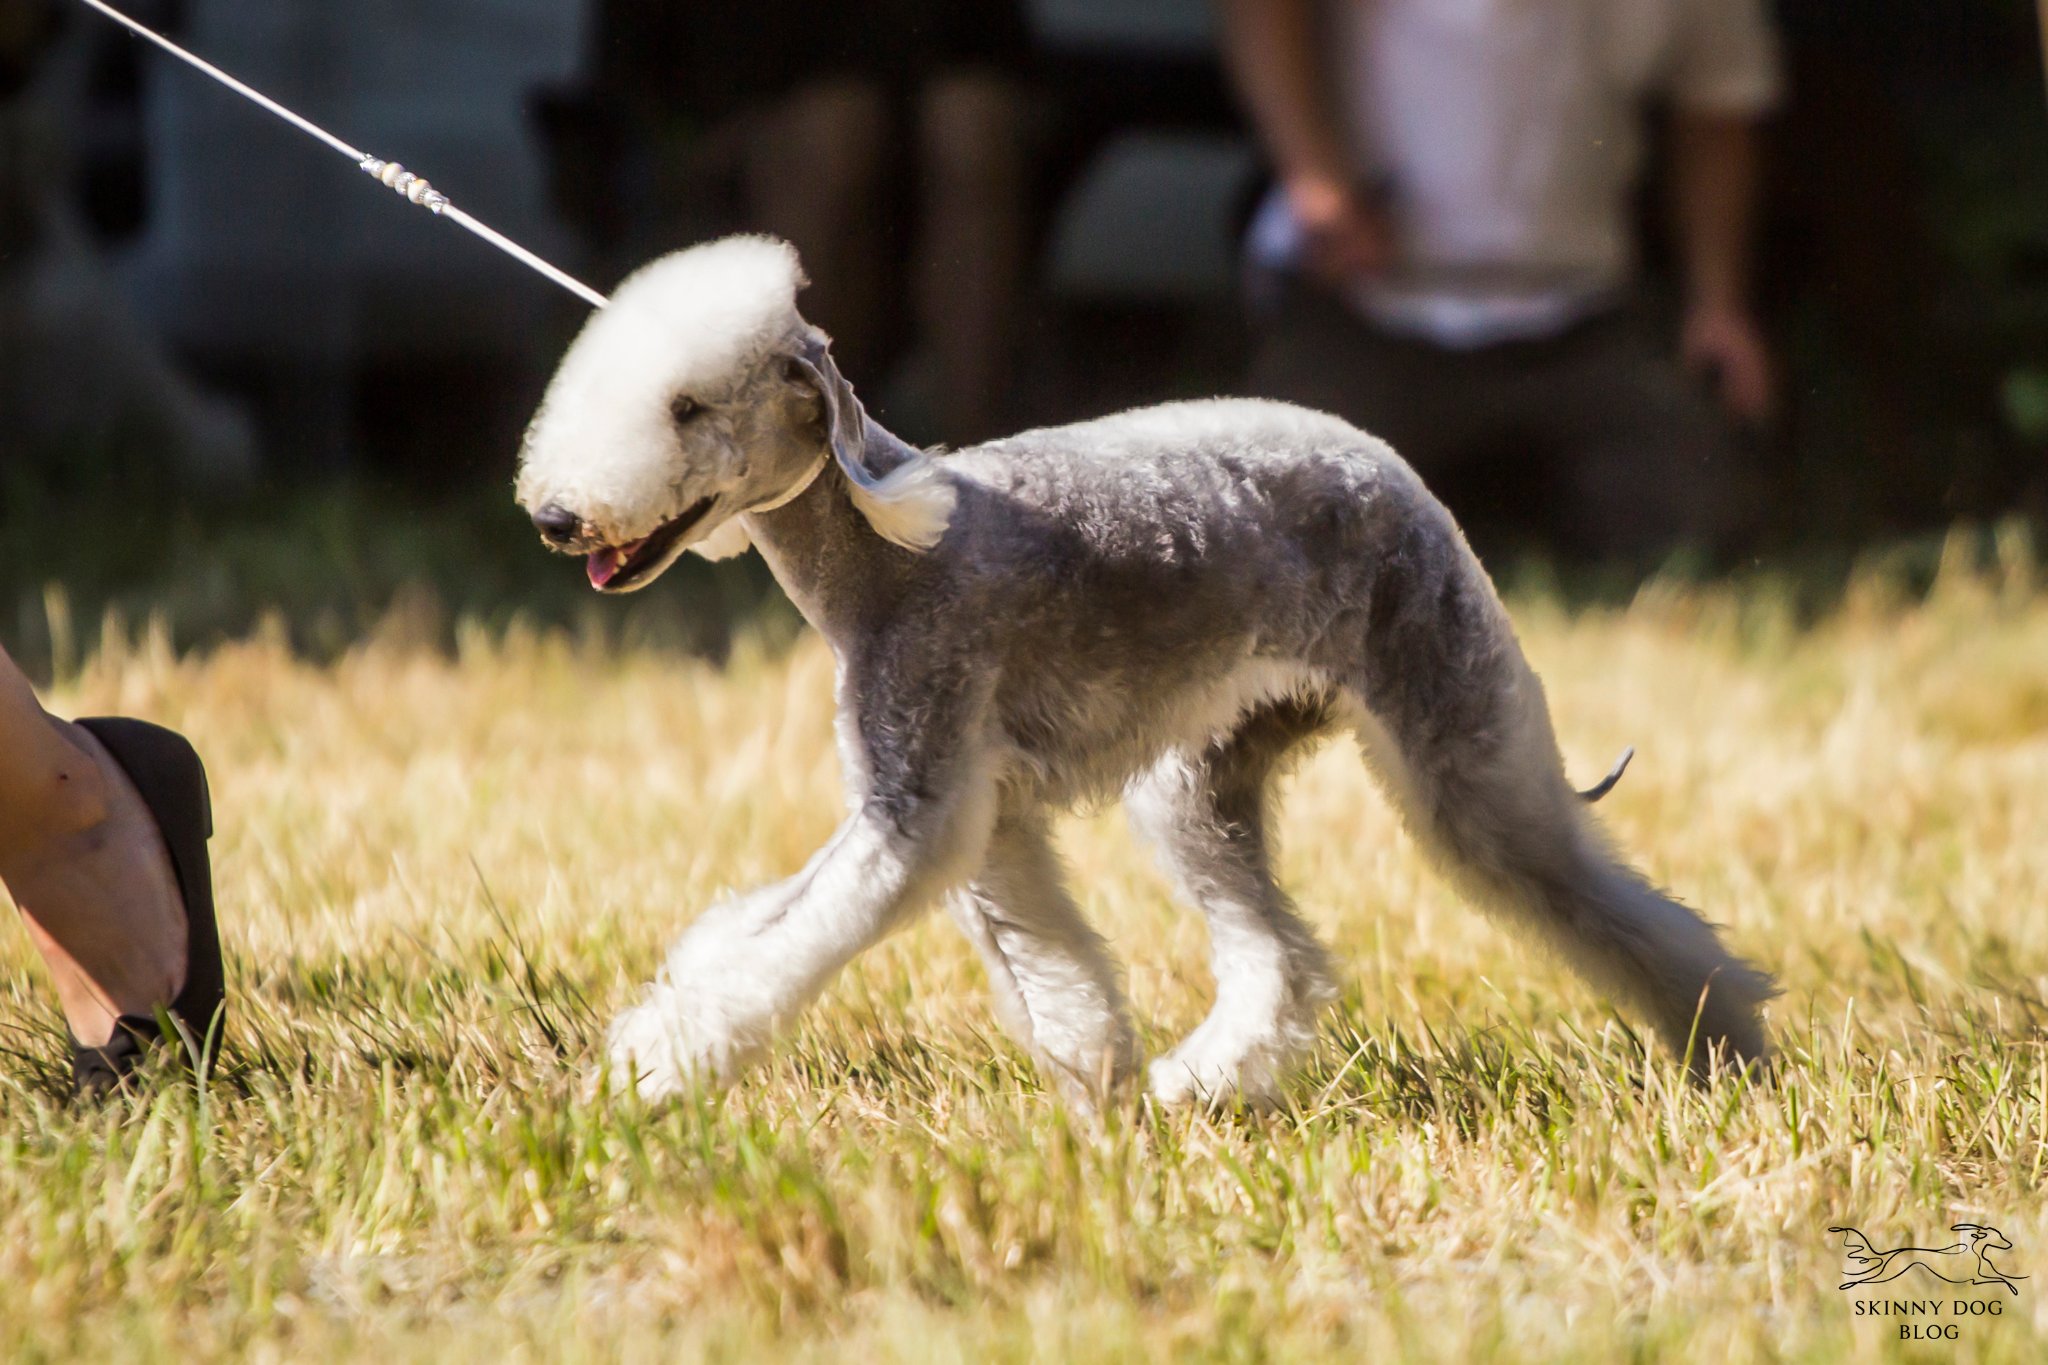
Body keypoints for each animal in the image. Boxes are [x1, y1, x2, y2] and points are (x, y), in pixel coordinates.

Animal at [516, 235, 1777, 1113]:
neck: (884, 552)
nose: (554, 519)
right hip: (1199, 781)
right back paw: (1195, 1085)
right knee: (1277, 956)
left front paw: (649, 1075)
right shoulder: (980, 811)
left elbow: (783, 947)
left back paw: (1727, 1048)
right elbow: (1025, 957)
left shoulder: (913, 806)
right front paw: (1099, 1090)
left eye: (686, 408)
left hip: (1454, 725)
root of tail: (1388, 463)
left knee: (1600, 900)